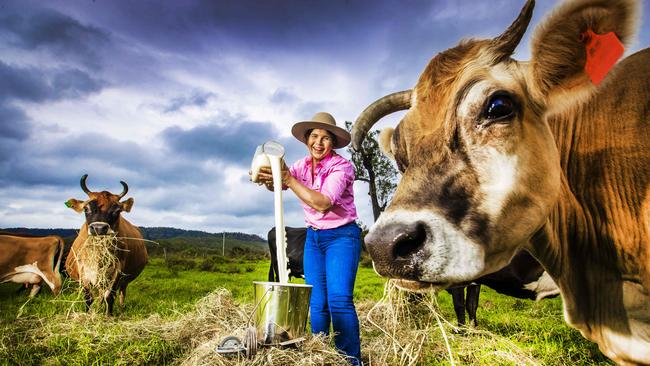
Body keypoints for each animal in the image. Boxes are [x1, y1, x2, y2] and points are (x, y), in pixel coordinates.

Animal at [65, 174, 147, 314]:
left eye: (117, 210)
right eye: (86, 208)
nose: (99, 228)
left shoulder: (118, 269)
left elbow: (110, 296)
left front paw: (109, 315)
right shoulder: (83, 270)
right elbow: (88, 297)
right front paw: (88, 314)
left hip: (124, 280)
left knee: (121, 292)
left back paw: (121, 309)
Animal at [352, 1, 648, 364]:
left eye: (498, 106)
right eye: (398, 151)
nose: (385, 245)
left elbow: (464, 304)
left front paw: (465, 331)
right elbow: (468, 304)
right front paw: (470, 331)